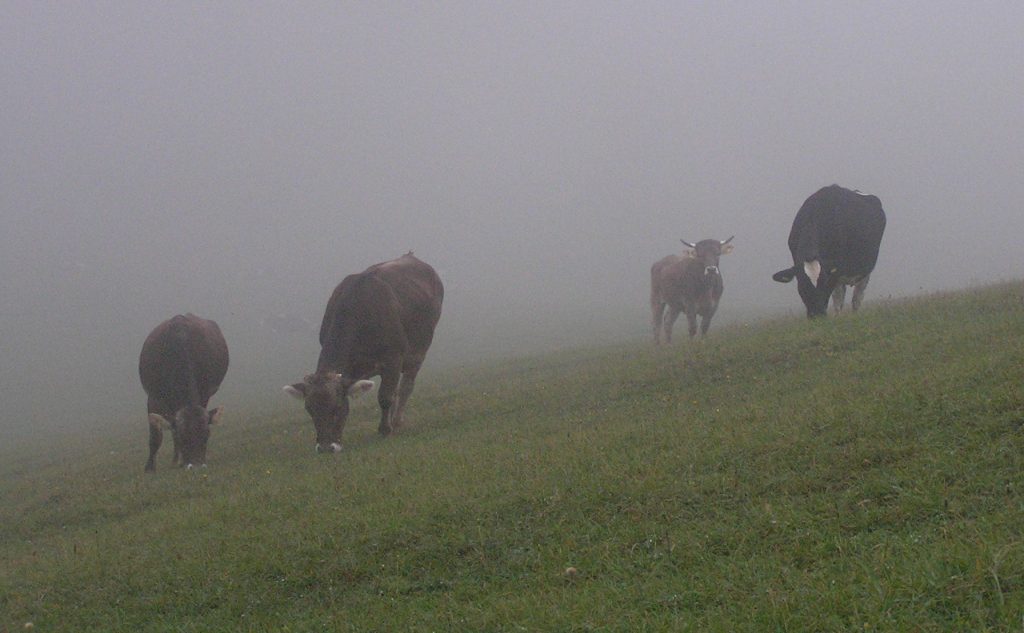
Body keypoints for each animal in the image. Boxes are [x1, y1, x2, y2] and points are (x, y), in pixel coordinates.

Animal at [138, 313, 228, 471]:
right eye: (183, 437)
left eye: (207, 434)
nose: (197, 466)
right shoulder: (153, 397)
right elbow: (155, 436)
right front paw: (149, 468)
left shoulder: (204, 393)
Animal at [288, 248, 448, 450]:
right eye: (309, 409)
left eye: (337, 406)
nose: (325, 448)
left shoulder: (393, 359)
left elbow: (385, 396)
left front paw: (385, 429)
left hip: (419, 350)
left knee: (405, 387)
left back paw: (397, 422)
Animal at [770, 186, 884, 315]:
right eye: (802, 284)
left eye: (824, 282)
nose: (817, 314)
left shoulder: (835, 273)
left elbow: (838, 300)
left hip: (866, 270)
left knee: (856, 298)